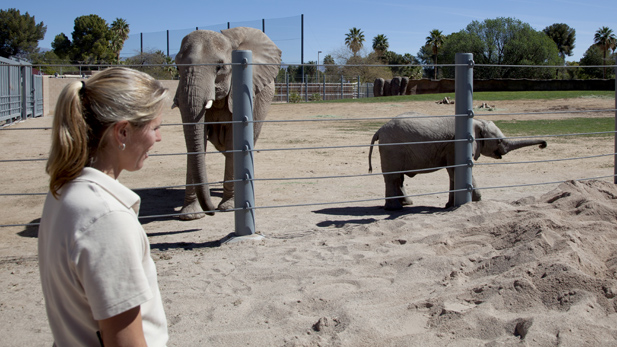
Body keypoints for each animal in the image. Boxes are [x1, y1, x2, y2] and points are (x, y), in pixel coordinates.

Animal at [172, 29, 280, 220]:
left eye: (219, 67)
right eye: (177, 67)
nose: (211, 211)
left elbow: (233, 141)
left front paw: (229, 207)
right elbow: (197, 141)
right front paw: (190, 216)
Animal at [368, 114, 548, 211]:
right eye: (499, 141)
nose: (543, 145)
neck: (475, 121)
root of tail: (379, 130)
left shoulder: (450, 147)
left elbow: (453, 173)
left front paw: (450, 205)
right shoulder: (456, 144)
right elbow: (457, 171)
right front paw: (476, 201)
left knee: (398, 178)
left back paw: (406, 204)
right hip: (392, 149)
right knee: (393, 177)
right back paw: (395, 208)